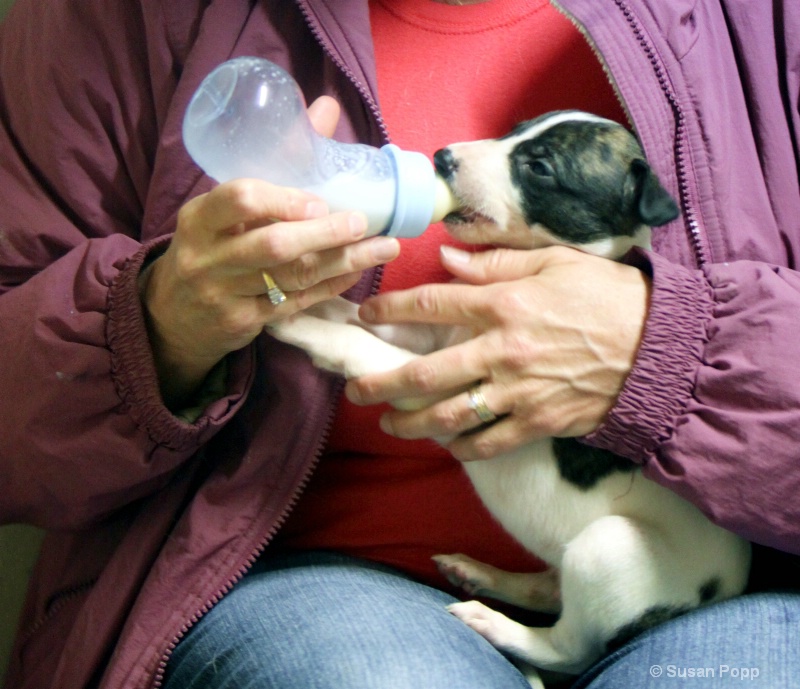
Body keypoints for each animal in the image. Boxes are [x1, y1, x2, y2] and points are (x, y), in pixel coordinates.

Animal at [346, 245, 648, 460]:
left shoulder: (441, 388)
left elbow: (378, 353)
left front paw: (333, 337)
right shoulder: (423, 333)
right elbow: (364, 318)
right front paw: (334, 306)